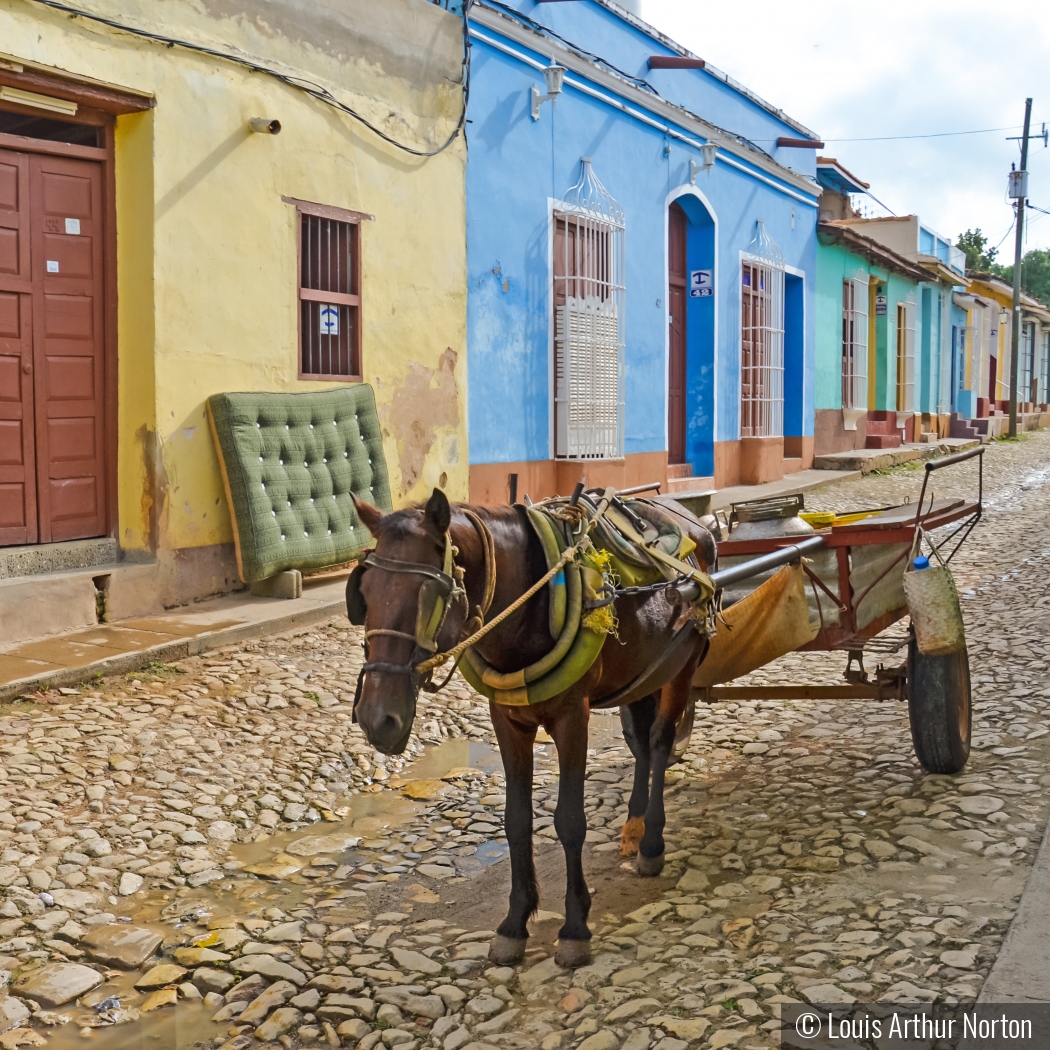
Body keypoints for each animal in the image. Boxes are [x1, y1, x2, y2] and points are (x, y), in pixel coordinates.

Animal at [350, 489, 713, 965]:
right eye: (364, 592)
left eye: (429, 593)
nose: (378, 720)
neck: (528, 609)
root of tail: (693, 518)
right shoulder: (506, 720)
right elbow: (516, 820)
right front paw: (514, 923)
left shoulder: (573, 717)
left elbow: (570, 821)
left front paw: (575, 929)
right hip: (642, 671)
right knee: (639, 743)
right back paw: (633, 826)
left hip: (681, 664)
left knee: (659, 741)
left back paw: (651, 842)